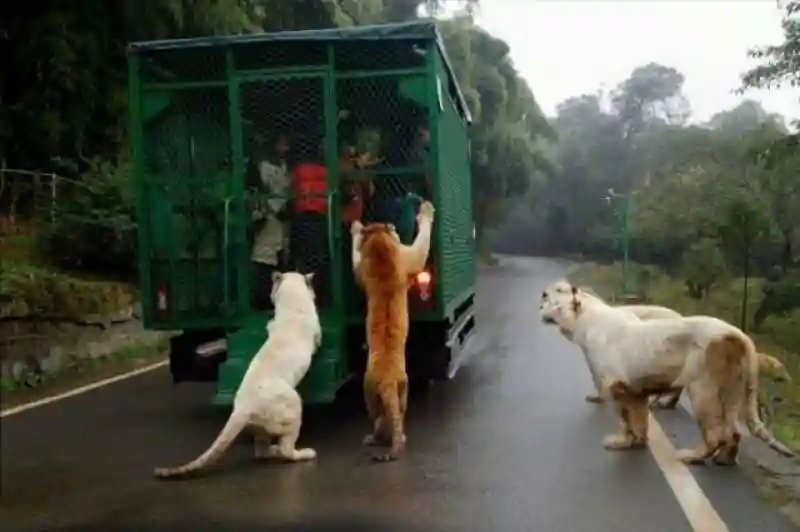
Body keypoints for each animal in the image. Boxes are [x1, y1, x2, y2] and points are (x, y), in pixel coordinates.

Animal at [153, 270, 322, 478]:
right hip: (293, 406)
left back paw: (273, 450)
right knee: (286, 449)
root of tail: (241, 409)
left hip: (260, 426)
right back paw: (306, 453)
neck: (291, 299)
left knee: (262, 451)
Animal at [352, 200, 434, 462]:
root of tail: (387, 379)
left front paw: (355, 228)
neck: (381, 245)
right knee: (392, 418)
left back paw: (375, 438)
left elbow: (355, 253)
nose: (394, 227)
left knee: (382, 420)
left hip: (375, 395)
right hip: (396, 392)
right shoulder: (410, 259)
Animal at [536, 280, 792, 468]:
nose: (540, 298)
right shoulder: (634, 389)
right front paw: (637, 441)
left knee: (715, 434)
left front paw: (619, 442)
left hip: (703, 389)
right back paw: (725, 459)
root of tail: (740, 336)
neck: (585, 318)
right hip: (734, 390)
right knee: (735, 431)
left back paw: (690, 455)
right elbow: (638, 417)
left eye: (554, 297)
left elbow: (624, 417)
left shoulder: (615, 384)